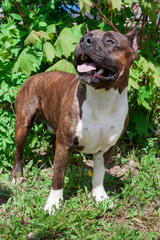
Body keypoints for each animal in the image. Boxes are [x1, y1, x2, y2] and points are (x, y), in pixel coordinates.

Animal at [10, 27, 138, 215]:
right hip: (22, 124)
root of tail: (34, 76)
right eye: (85, 36)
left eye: (110, 41)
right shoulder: (65, 144)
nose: (85, 40)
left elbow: (99, 175)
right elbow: (58, 176)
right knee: (18, 152)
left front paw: (100, 197)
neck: (102, 98)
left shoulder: (107, 148)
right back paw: (17, 176)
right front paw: (53, 203)